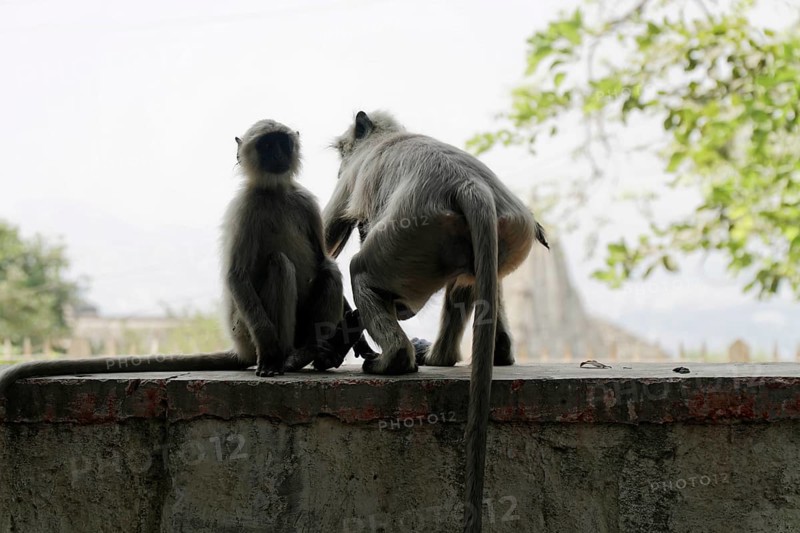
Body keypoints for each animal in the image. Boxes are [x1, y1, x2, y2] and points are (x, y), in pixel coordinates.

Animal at [0, 119, 365, 399]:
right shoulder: (244, 207)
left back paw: (312, 351)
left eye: (282, 143)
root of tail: (240, 348)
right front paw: (273, 352)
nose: (277, 154)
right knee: (278, 264)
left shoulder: (305, 201)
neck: (273, 191)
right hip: (243, 328)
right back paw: (283, 357)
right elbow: (236, 275)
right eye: (266, 145)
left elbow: (323, 258)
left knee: (328, 270)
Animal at [323, 110, 548, 533]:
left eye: (343, 155)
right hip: (506, 233)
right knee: (470, 284)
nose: (340, 166)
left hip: (412, 236)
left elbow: (328, 232)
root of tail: (471, 186)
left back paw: (396, 357)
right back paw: (480, 354)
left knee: (363, 270)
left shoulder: (352, 181)